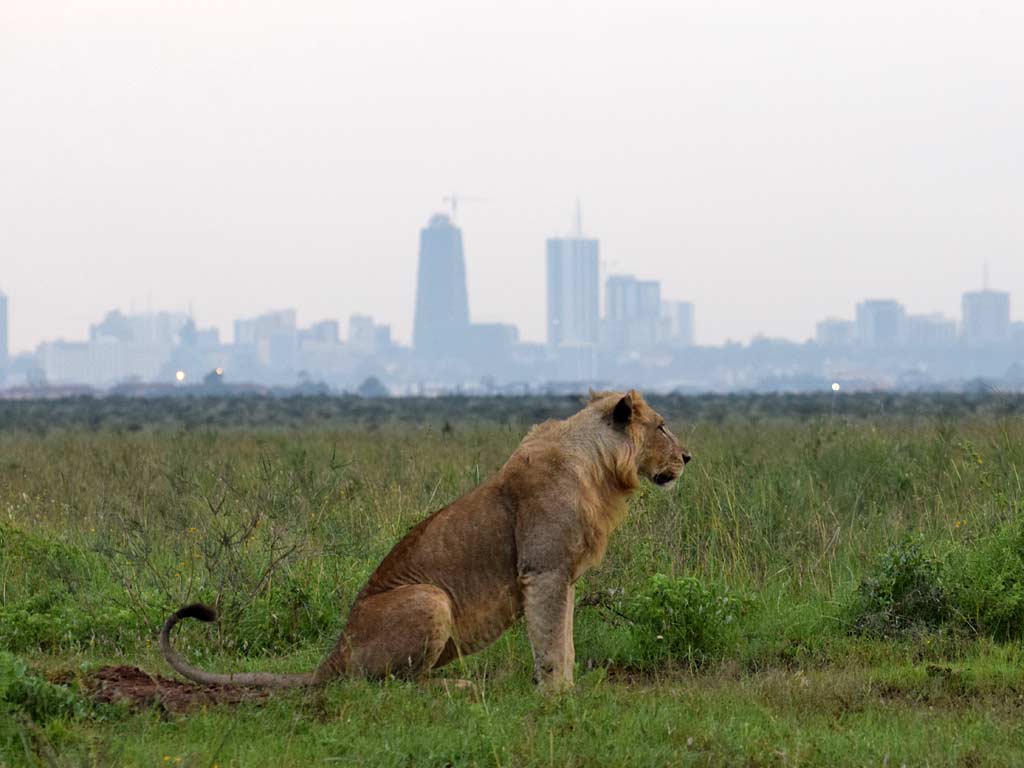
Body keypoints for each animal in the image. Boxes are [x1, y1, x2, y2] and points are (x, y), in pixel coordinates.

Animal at [161, 387, 688, 696]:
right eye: (662, 425)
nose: (688, 456)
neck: (598, 468)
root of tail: (336, 652)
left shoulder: (564, 578)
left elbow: (567, 640)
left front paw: (567, 690)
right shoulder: (544, 571)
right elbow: (552, 642)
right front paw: (557, 698)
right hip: (430, 596)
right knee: (395, 687)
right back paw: (458, 685)